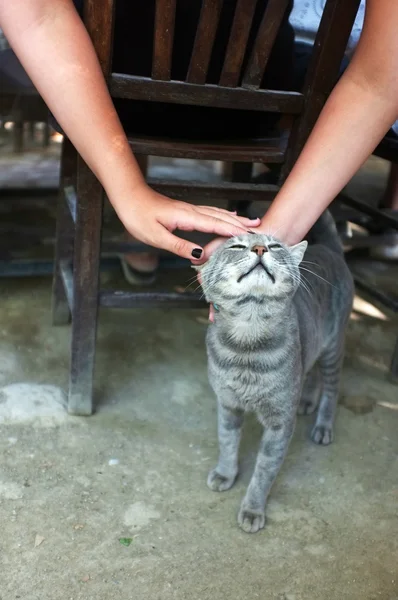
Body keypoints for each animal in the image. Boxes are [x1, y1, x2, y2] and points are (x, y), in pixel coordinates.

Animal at [196, 213, 352, 532]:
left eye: (275, 245)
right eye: (237, 246)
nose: (259, 249)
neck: (247, 345)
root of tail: (331, 250)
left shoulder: (280, 423)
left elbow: (264, 471)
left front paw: (252, 509)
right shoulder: (227, 405)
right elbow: (227, 442)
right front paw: (225, 473)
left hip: (333, 348)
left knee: (332, 386)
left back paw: (323, 425)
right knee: (311, 373)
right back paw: (306, 401)